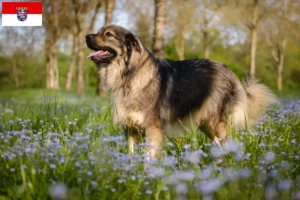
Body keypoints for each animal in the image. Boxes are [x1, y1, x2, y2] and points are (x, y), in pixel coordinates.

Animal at [85, 24, 278, 156]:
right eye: (99, 31)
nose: (87, 36)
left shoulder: (152, 128)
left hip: (216, 122)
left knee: (227, 144)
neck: (130, 74)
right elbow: (131, 155)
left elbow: (149, 157)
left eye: (108, 34)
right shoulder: (131, 128)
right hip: (206, 124)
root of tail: (229, 71)